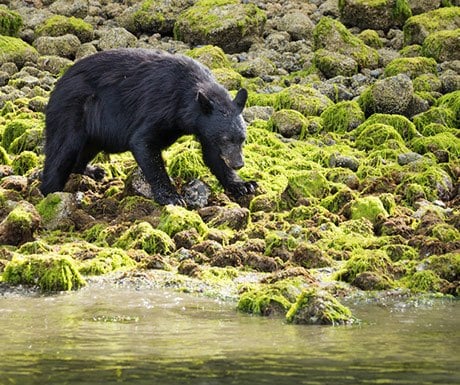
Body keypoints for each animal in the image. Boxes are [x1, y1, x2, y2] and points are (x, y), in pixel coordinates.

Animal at [41, 49, 256, 206]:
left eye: (242, 139)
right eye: (226, 139)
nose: (238, 163)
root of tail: (59, 82)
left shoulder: (204, 127)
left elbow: (213, 156)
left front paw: (243, 185)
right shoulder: (161, 105)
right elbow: (143, 142)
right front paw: (171, 196)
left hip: (92, 133)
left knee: (84, 150)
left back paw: (92, 171)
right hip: (71, 110)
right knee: (62, 151)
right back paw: (51, 193)